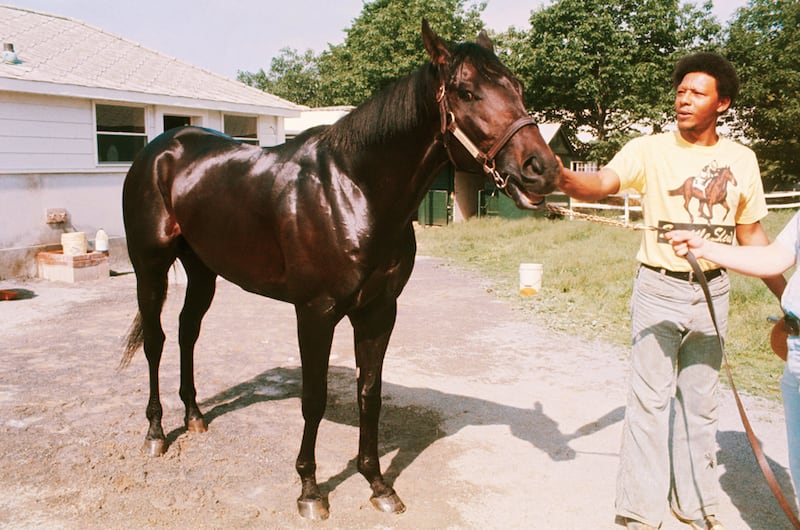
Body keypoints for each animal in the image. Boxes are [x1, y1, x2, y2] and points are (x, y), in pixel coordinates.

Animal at [120, 21, 556, 520]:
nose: (541, 169)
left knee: (187, 331)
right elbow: (315, 398)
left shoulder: (379, 311)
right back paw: (156, 433)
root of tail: (161, 149)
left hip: (203, 270)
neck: (353, 191)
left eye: (517, 87)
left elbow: (371, 393)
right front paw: (310, 490)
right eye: (467, 92)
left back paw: (193, 416)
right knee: (156, 341)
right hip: (150, 267)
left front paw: (377, 483)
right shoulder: (315, 313)